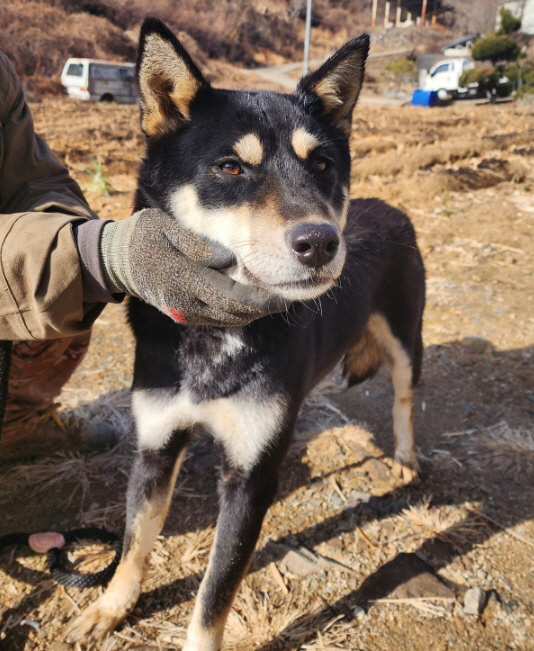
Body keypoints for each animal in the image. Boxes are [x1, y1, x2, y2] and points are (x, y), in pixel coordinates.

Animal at [68, 17, 428, 651]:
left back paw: (406, 456)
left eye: (322, 165)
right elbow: (134, 544)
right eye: (232, 167)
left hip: (406, 339)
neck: (215, 336)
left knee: (405, 397)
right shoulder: (155, 445)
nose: (321, 243)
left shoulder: (251, 479)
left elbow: (215, 593)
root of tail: (393, 207)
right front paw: (109, 608)